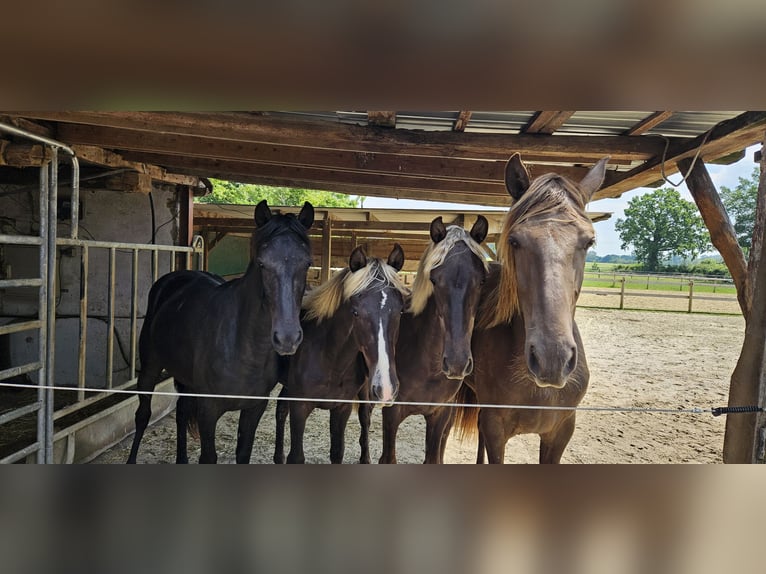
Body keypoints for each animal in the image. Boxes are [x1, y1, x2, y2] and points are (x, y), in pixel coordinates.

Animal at [127, 200, 314, 466]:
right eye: (261, 263)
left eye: (307, 263)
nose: (287, 338)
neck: (242, 346)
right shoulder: (208, 409)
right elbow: (208, 456)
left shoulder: (254, 408)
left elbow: (243, 453)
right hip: (150, 367)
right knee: (143, 414)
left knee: (181, 412)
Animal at [274, 245, 408, 466]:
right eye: (355, 312)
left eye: (400, 312)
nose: (387, 388)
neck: (330, 359)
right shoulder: (299, 406)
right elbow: (296, 456)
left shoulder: (341, 408)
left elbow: (338, 452)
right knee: (281, 408)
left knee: (365, 418)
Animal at [380, 218, 492, 466]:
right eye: (434, 279)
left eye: (482, 281)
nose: (457, 364)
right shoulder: (391, 414)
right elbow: (388, 457)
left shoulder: (440, 413)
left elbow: (433, 457)